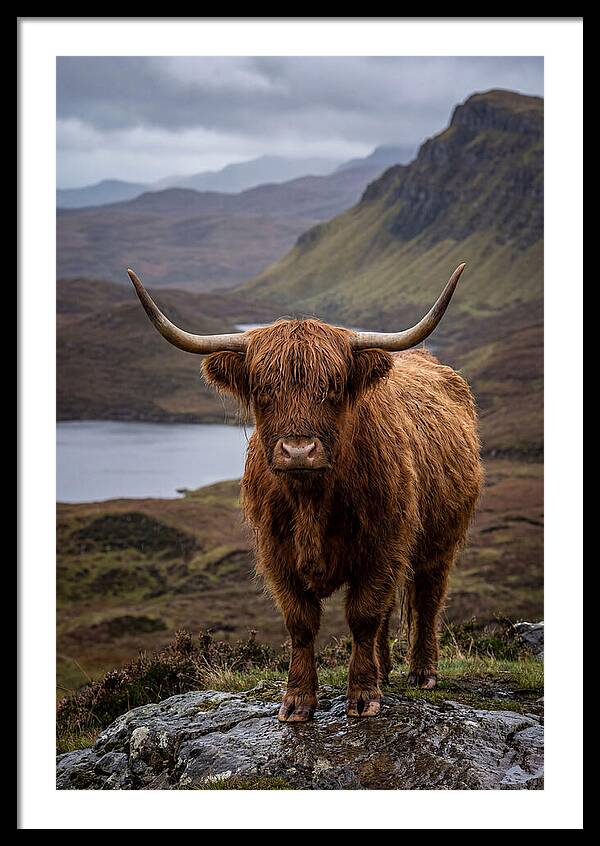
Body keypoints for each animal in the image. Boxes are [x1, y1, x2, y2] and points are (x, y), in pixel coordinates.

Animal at [128, 265, 483, 722]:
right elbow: (301, 622)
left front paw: (363, 695)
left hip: (439, 540)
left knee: (427, 597)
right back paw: (386, 670)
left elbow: (363, 615)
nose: (298, 450)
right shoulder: (277, 553)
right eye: (263, 388)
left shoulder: (383, 546)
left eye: (332, 386)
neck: (312, 500)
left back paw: (422, 672)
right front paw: (298, 700)